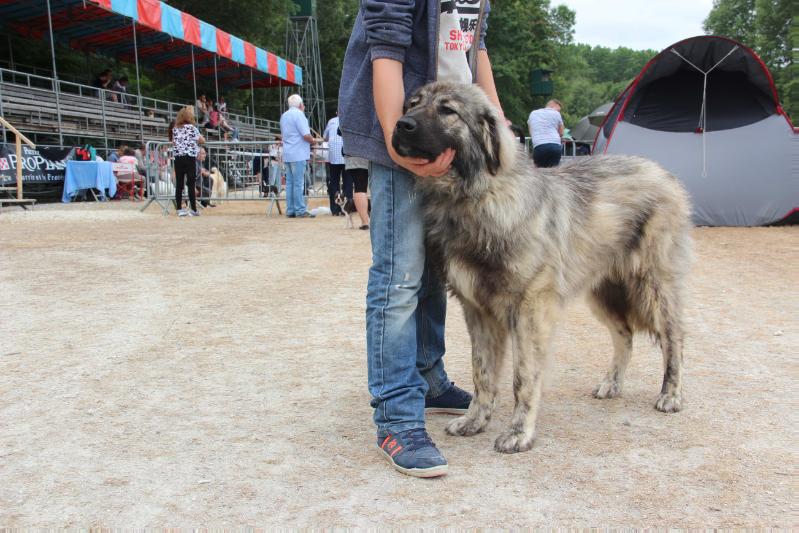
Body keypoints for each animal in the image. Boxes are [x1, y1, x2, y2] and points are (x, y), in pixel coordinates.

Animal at [394, 83, 692, 454]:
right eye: (412, 104)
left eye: (448, 110)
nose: (400, 124)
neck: (475, 197)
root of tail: (664, 174)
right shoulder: (478, 310)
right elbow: (483, 373)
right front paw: (475, 421)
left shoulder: (530, 310)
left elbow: (523, 377)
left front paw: (519, 432)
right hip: (603, 293)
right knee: (624, 335)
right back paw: (611, 383)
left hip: (653, 286)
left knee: (673, 337)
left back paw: (670, 394)